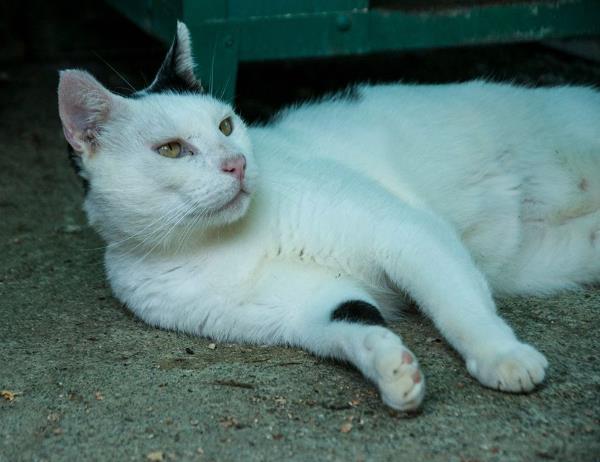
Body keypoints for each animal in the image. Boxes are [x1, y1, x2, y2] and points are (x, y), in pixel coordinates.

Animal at [57, 23, 600, 410]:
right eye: (171, 150)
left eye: (226, 125)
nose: (237, 163)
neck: (220, 242)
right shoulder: (306, 306)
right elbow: (352, 321)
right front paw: (393, 369)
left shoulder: (405, 232)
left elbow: (460, 308)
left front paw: (500, 356)